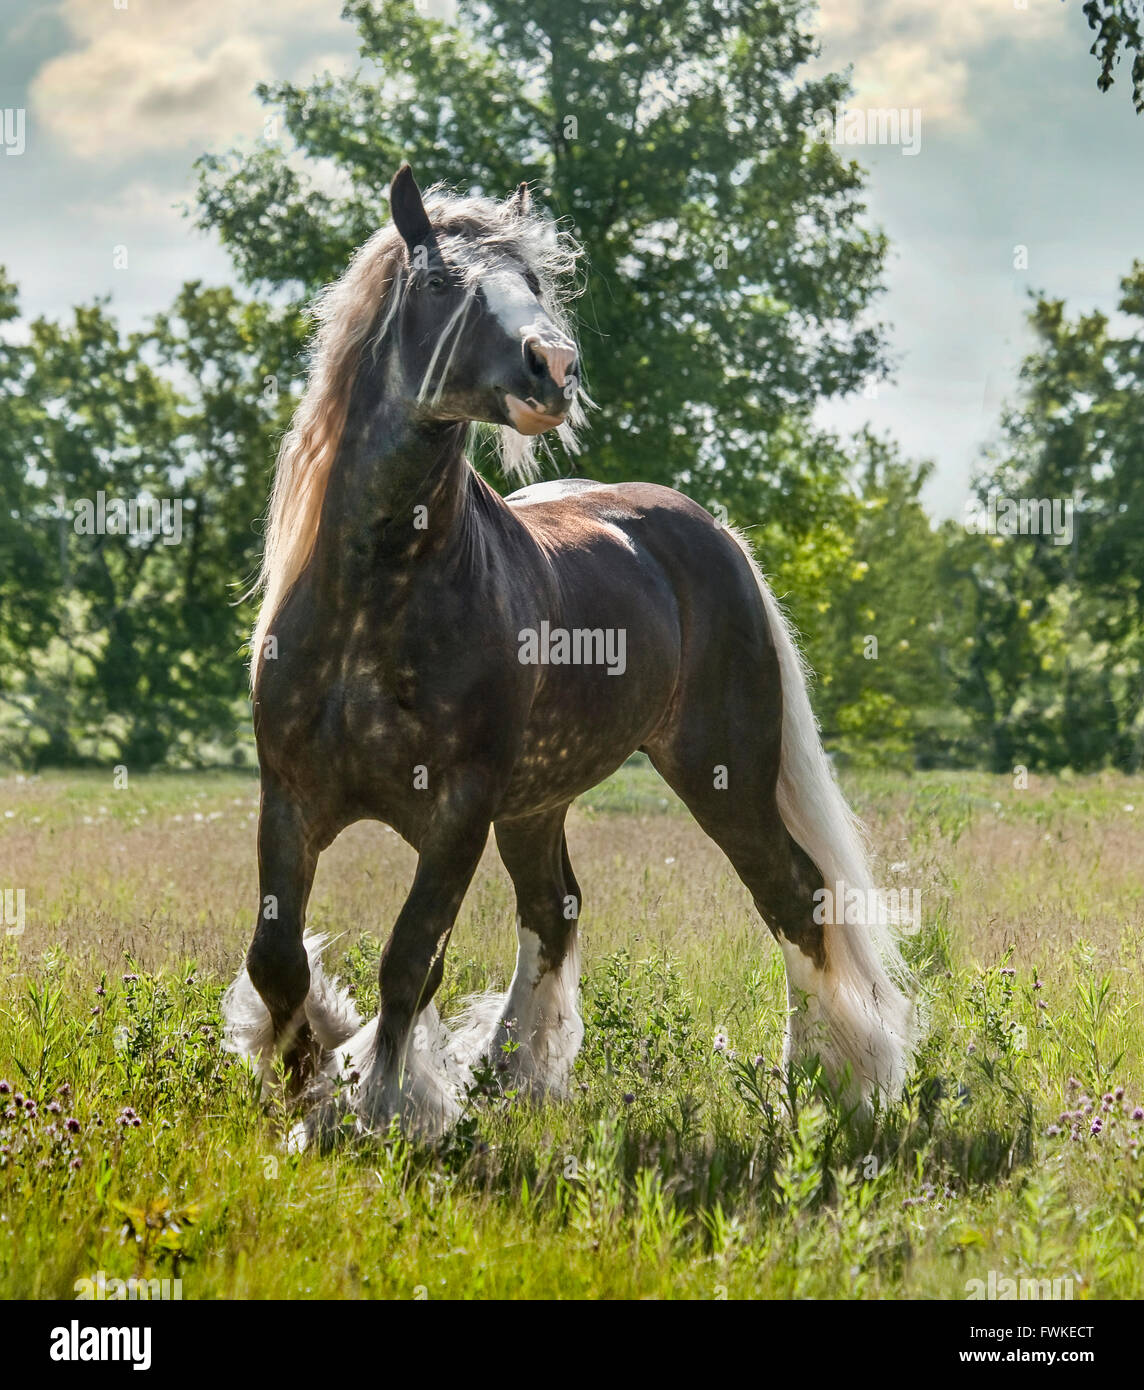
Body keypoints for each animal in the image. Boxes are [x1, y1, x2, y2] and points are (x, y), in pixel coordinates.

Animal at [223, 162, 917, 1139]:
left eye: (536, 283)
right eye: (439, 281)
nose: (552, 366)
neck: (375, 600)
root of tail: (711, 533)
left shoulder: (458, 813)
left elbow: (410, 960)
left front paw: (386, 1106)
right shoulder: (290, 797)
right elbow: (277, 957)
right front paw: (306, 1084)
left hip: (721, 775)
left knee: (794, 894)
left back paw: (829, 1083)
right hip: (538, 801)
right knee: (553, 911)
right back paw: (512, 1073)